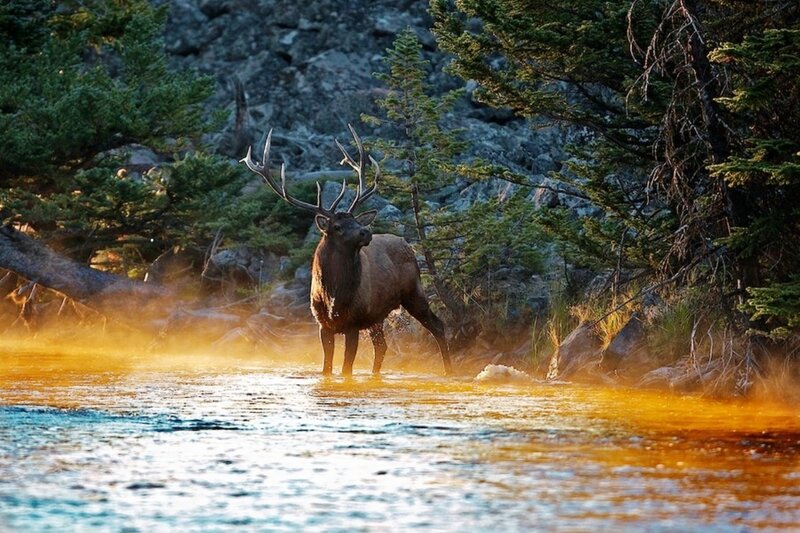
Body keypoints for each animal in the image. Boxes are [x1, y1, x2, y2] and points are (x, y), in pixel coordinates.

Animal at [241, 125, 452, 377]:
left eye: (356, 220)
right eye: (338, 226)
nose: (365, 231)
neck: (334, 296)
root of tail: (406, 243)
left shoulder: (353, 323)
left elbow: (346, 370)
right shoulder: (323, 325)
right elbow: (327, 368)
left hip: (413, 291)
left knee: (438, 326)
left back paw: (450, 370)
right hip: (376, 316)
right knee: (382, 346)